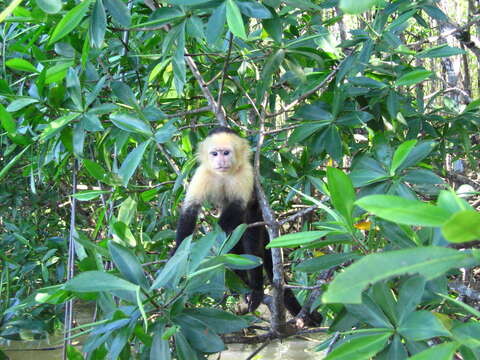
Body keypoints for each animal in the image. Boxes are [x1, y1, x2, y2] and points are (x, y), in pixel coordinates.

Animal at [175, 127, 322, 326]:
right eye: (214, 154)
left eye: (226, 153)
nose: (221, 161)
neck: (224, 175)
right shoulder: (202, 174)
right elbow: (189, 212)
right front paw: (177, 256)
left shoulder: (245, 174)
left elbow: (235, 213)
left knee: (250, 237)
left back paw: (255, 288)